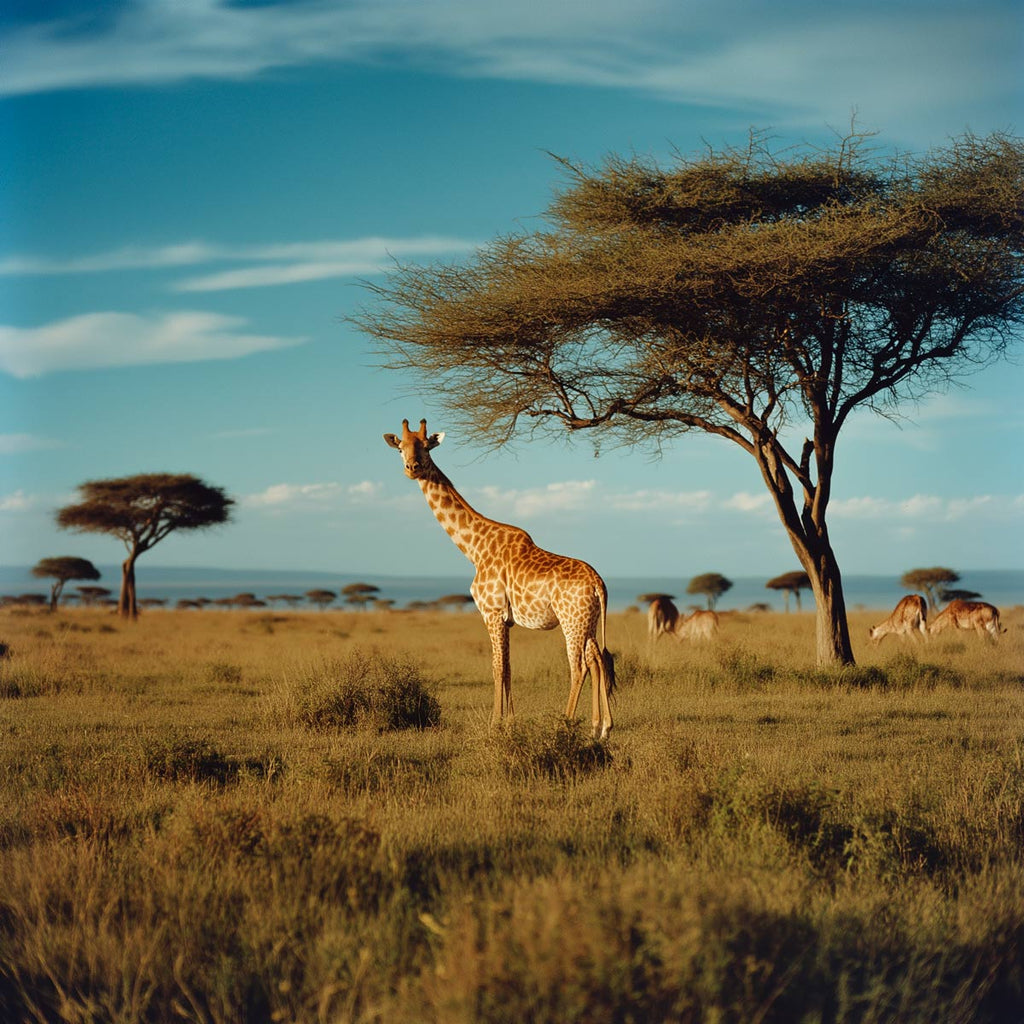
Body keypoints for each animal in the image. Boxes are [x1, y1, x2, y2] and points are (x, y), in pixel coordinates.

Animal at [380, 419, 610, 741]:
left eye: (426, 447)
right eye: (401, 447)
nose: (412, 468)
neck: (474, 549)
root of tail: (598, 583)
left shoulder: (491, 612)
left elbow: (496, 668)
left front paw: (494, 725)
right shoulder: (507, 619)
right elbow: (509, 667)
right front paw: (510, 723)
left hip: (571, 620)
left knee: (578, 667)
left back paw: (564, 725)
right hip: (588, 621)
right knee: (597, 659)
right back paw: (600, 728)